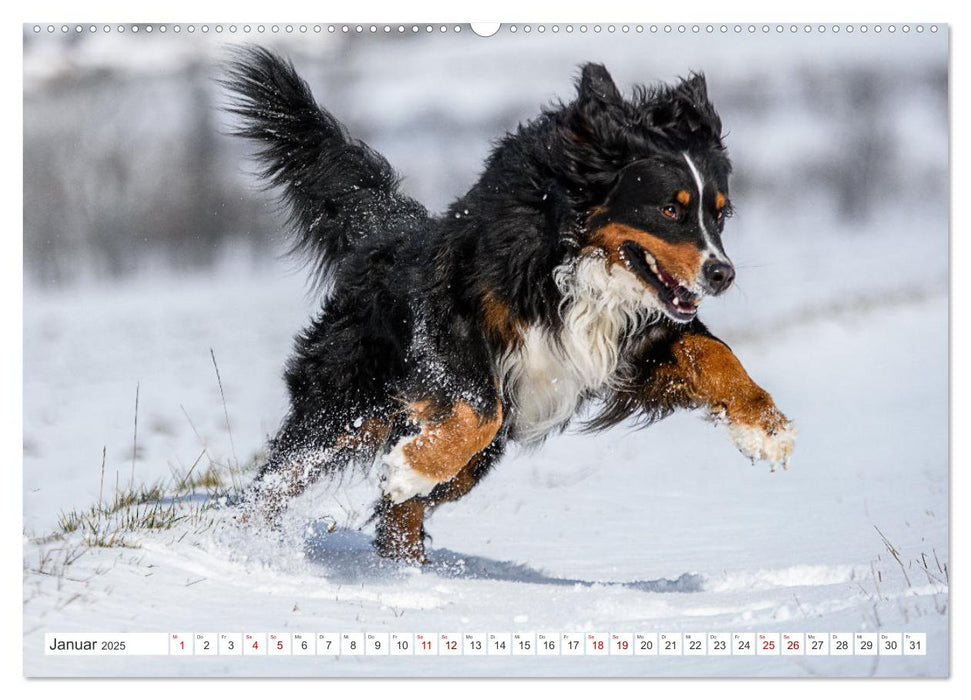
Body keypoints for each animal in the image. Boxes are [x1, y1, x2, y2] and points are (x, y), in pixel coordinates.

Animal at [228, 47, 796, 564]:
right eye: (670, 210)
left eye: (719, 214)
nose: (722, 274)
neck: (578, 255)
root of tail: (388, 233)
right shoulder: (454, 317)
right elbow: (482, 406)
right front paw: (411, 466)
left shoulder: (638, 339)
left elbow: (717, 355)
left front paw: (765, 427)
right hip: (350, 402)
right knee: (278, 479)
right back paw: (245, 548)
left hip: (464, 458)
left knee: (399, 511)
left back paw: (410, 569)